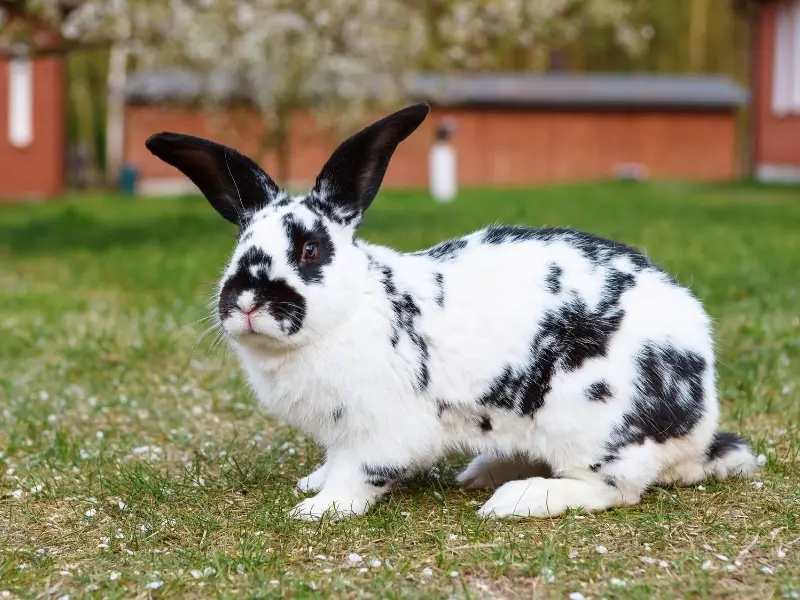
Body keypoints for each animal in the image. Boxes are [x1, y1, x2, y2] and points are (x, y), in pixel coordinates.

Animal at [145, 101, 764, 516]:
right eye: (239, 247)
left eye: (309, 250)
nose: (247, 301)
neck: (353, 310)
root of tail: (699, 425)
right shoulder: (340, 431)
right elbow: (334, 460)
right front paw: (311, 485)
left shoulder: (382, 429)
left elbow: (360, 472)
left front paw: (319, 508)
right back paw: (481, 474)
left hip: (590, 422)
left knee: (613, 488)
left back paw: (515, 499)